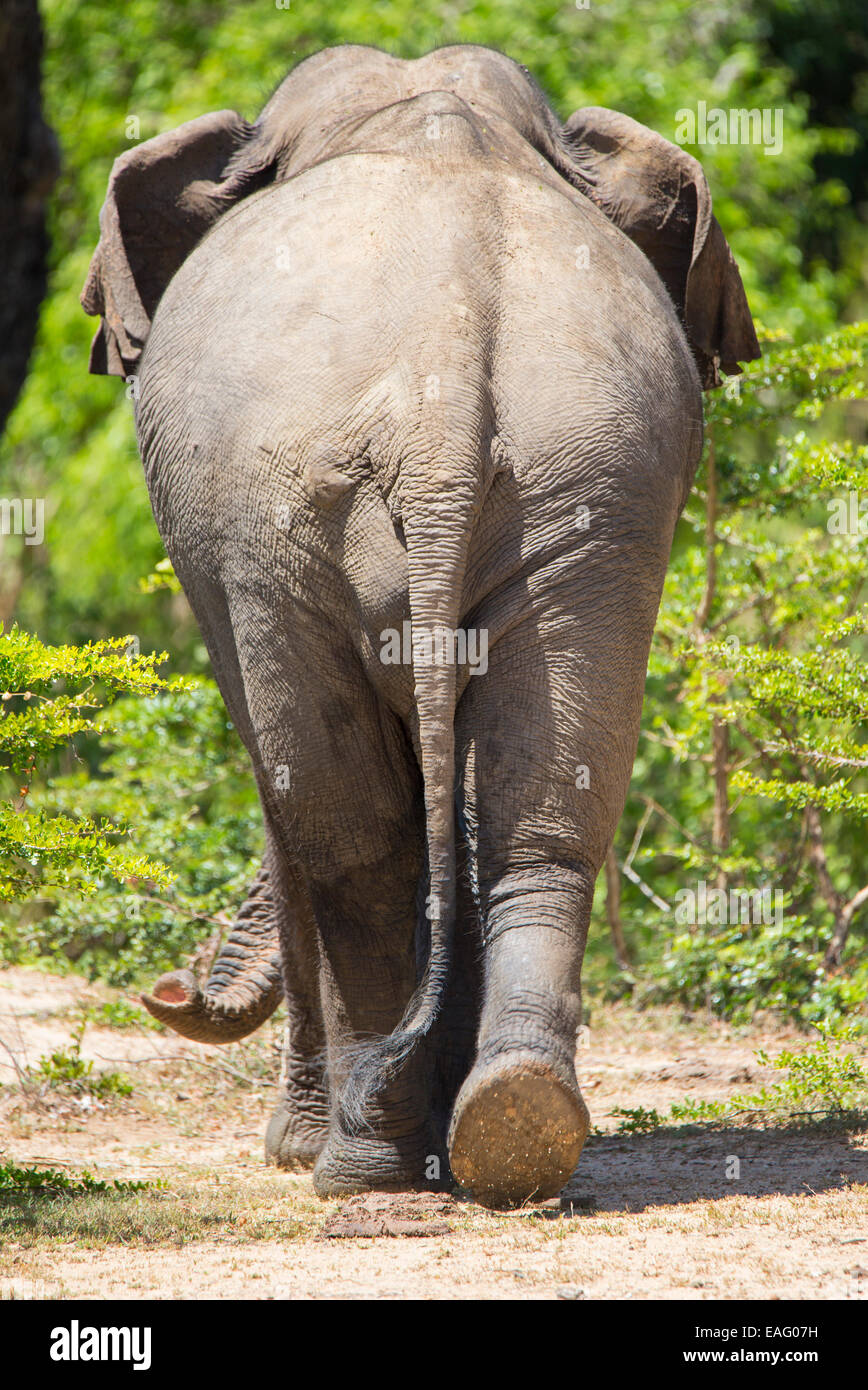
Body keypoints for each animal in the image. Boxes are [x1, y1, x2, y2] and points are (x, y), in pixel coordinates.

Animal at [83, 40, 756, 1206]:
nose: (166, 990)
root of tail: (442, 398)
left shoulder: (231, 567)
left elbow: (286, 791)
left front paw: (297, 1147)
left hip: (289, 518)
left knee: (350, 832)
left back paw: (360, 1162)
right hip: (592, 483)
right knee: (541, 808)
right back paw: (510, 1126)